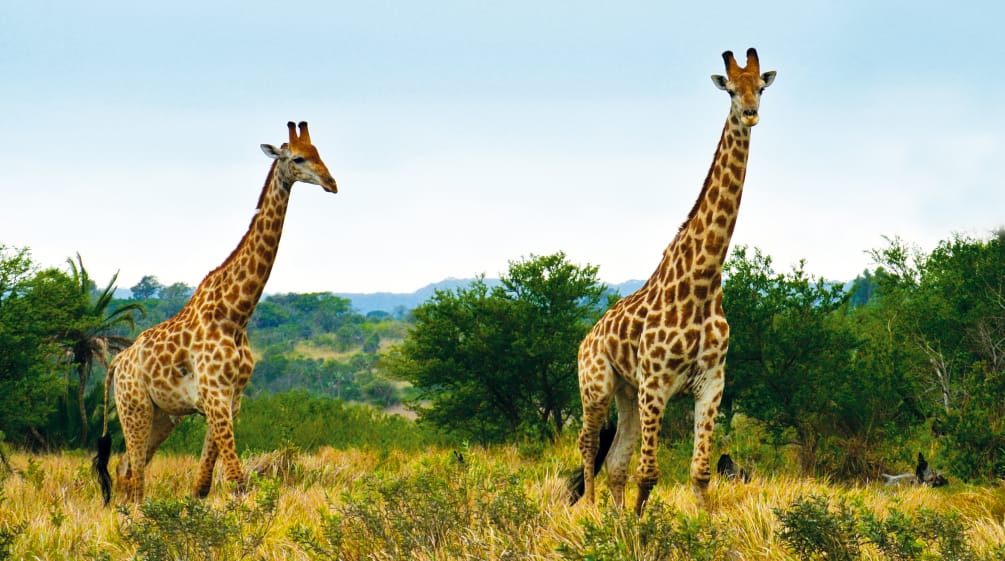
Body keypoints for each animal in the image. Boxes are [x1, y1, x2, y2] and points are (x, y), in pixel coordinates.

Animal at [94, 119, 337, 506]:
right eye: (298, 158)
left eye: (319, 153)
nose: (331, 183)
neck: (236, 313)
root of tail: (118, 362)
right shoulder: (216, 396)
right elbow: (237, 479)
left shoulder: (229, 401)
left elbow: (202, 485)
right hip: (134, 408)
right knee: (135, 477)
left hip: (163, 415)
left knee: (127, 468)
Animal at [574, 50, 775, 518]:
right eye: (731, 90)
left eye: (760, 87)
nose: (751, 113)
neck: (702, 280)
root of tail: (587, 338)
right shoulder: (657, 383)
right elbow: (649, 472)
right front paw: (641, 526)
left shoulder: (712, 383)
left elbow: (699, 472)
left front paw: (699, 525)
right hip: (597, 385)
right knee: (588, 443)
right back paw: (589, 509)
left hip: (626, 392)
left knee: (615, 459)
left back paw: (613, 518)